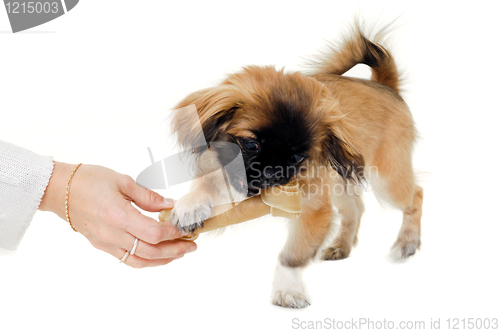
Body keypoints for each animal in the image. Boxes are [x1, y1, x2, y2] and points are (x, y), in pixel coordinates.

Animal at [170, 24, 424, 308]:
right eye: (251, 145)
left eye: (297, 158)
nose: (272, 172)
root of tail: (384, 84)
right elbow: (202, 189)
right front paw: (190, 207)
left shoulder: (313, 212)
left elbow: (292, 256)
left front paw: (287, 289)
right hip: (340, 180)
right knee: (355, 208)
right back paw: (341, 246)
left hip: (387, 179)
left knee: (416, 196)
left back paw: (406, 243)